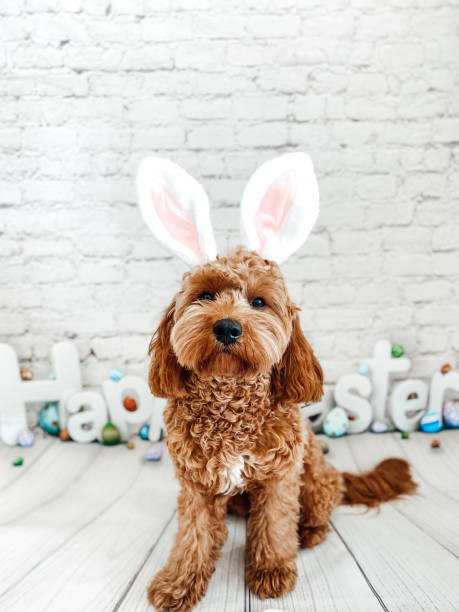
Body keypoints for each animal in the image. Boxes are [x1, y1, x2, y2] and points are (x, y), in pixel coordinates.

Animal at [146, 246, 416, 608]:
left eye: (259, 302)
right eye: (205, 295)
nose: (227, 327)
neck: (230, 401)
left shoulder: (279, 478)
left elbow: (274, 525)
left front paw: (271, 570)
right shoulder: (197, 485)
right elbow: (193, 537)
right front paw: (178, 583)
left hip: (314, 478)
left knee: (321, 508)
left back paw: (309, 532)